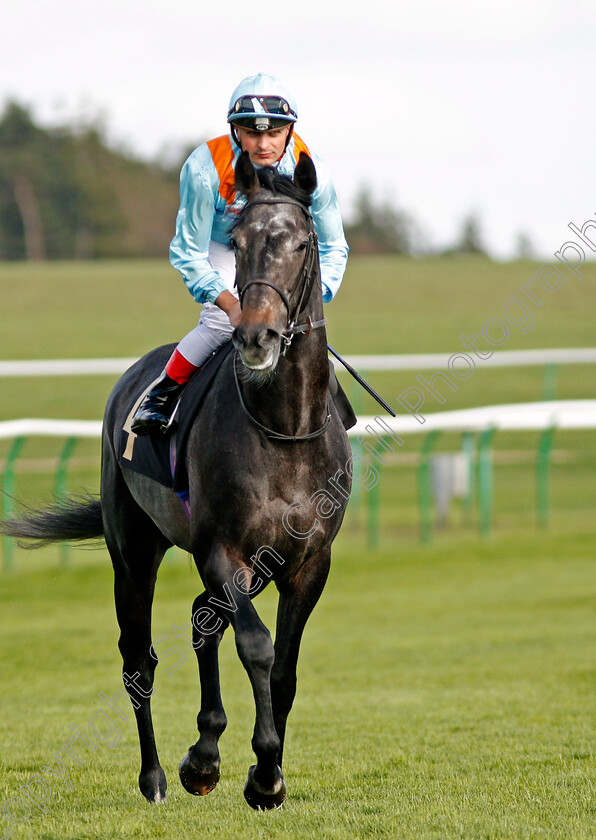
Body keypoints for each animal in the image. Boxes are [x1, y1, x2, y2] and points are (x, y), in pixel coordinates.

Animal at [0, 154, 352, 812]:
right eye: (238, 243)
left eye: (302, 242)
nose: (256, 336)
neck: (284, 427)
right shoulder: (221, 551)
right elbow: (257, 646)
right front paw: (263, 773)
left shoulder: (308, 562)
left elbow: (285, 668)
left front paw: (262, 772)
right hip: (134, 551)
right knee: (141, 660)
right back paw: (159, 776)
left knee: (200, 620)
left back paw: (204, 755)